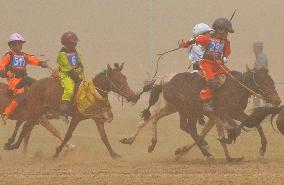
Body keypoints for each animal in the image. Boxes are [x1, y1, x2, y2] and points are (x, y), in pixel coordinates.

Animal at [4, 62, 138, 158]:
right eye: (117, 80)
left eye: (125, 78)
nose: (134, 96)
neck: (92, 94)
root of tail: (34, 82)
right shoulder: (76, 118)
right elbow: (68, 135)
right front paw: (57, 152)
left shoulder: (97, 118)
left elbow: (104, 137)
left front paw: (114, 154)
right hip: (35, 110)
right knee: (26, 126)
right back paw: (12, 145)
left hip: (39, 112)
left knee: (27, 126)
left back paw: (13, 145)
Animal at [121, 66, 280, 160]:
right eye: (265, 83)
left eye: (273, 82)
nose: (277, 101)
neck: (236, 88)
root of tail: (164, 80)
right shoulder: (225, 113)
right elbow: (226, 130)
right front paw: (229, 150)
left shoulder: (231, 113)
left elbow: (255, 123)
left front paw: (262, 147)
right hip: (185, 109)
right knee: (187, 127)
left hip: (174, 107)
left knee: (155, 119)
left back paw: (146, 143)